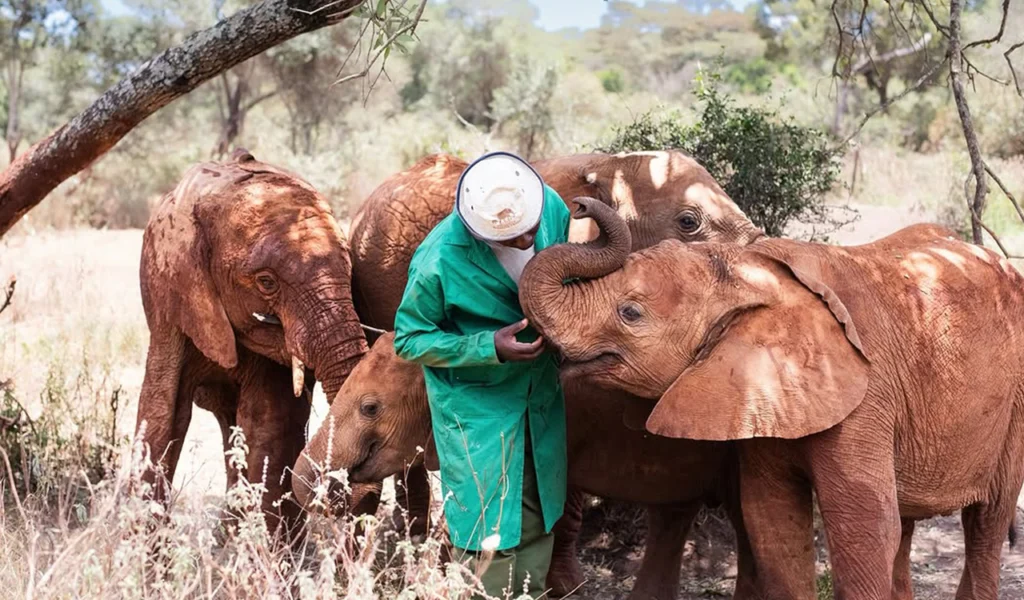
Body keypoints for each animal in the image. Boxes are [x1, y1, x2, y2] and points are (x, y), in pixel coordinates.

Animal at [519, 197, 1024, 600]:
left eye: (630, 313)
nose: (582, 204)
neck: (755, 272)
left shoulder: (866, 396)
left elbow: (863, 524)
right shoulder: (761, 402)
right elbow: (770, 519)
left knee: (987, 521)